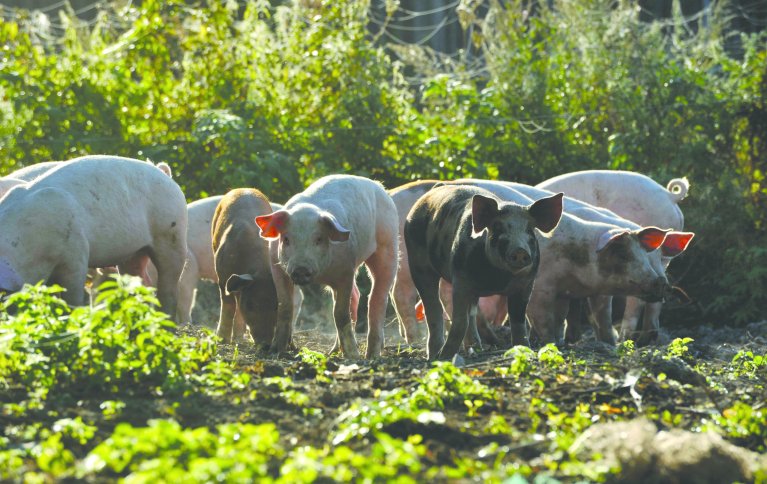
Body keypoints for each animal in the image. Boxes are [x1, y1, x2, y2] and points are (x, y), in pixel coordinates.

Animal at [0, 153, 188, 318]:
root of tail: (164, 174)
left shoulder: (76, 253)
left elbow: (72, 299)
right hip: (134, 252)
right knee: (141, 281)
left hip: (172, 235)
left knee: (169, 287)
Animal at [256, 175, 400, 360]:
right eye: (286, 239)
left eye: (318, 239)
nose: (301, 269)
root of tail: (379, 186)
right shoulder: (278, 268)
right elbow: (285, 307)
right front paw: (275, 352)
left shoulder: (346, 269)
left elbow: (340, 313)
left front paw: (353, 356)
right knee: (356, 295)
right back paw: (334, 352)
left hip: (388, 245)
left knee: (377, 299)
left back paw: (371, 356)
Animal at [402, 184, 564, 360]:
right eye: (498, 228)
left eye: (529, 230)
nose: (520, 250)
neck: (497, 278)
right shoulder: (461, 279)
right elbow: (460, 321)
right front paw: (445, 358)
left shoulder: (526, 284)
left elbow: (518, 323)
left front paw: (525, 353)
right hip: (417, 263)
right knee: (434, 308)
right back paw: (434, 356)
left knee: (471, 313)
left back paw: (475, 349)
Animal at [536, 170, 692, 344]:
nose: (662, 284)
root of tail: (670, 195)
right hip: (665, 261)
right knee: (653, 304)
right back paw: (644, 339)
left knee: (635, 301)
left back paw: (625, 339)